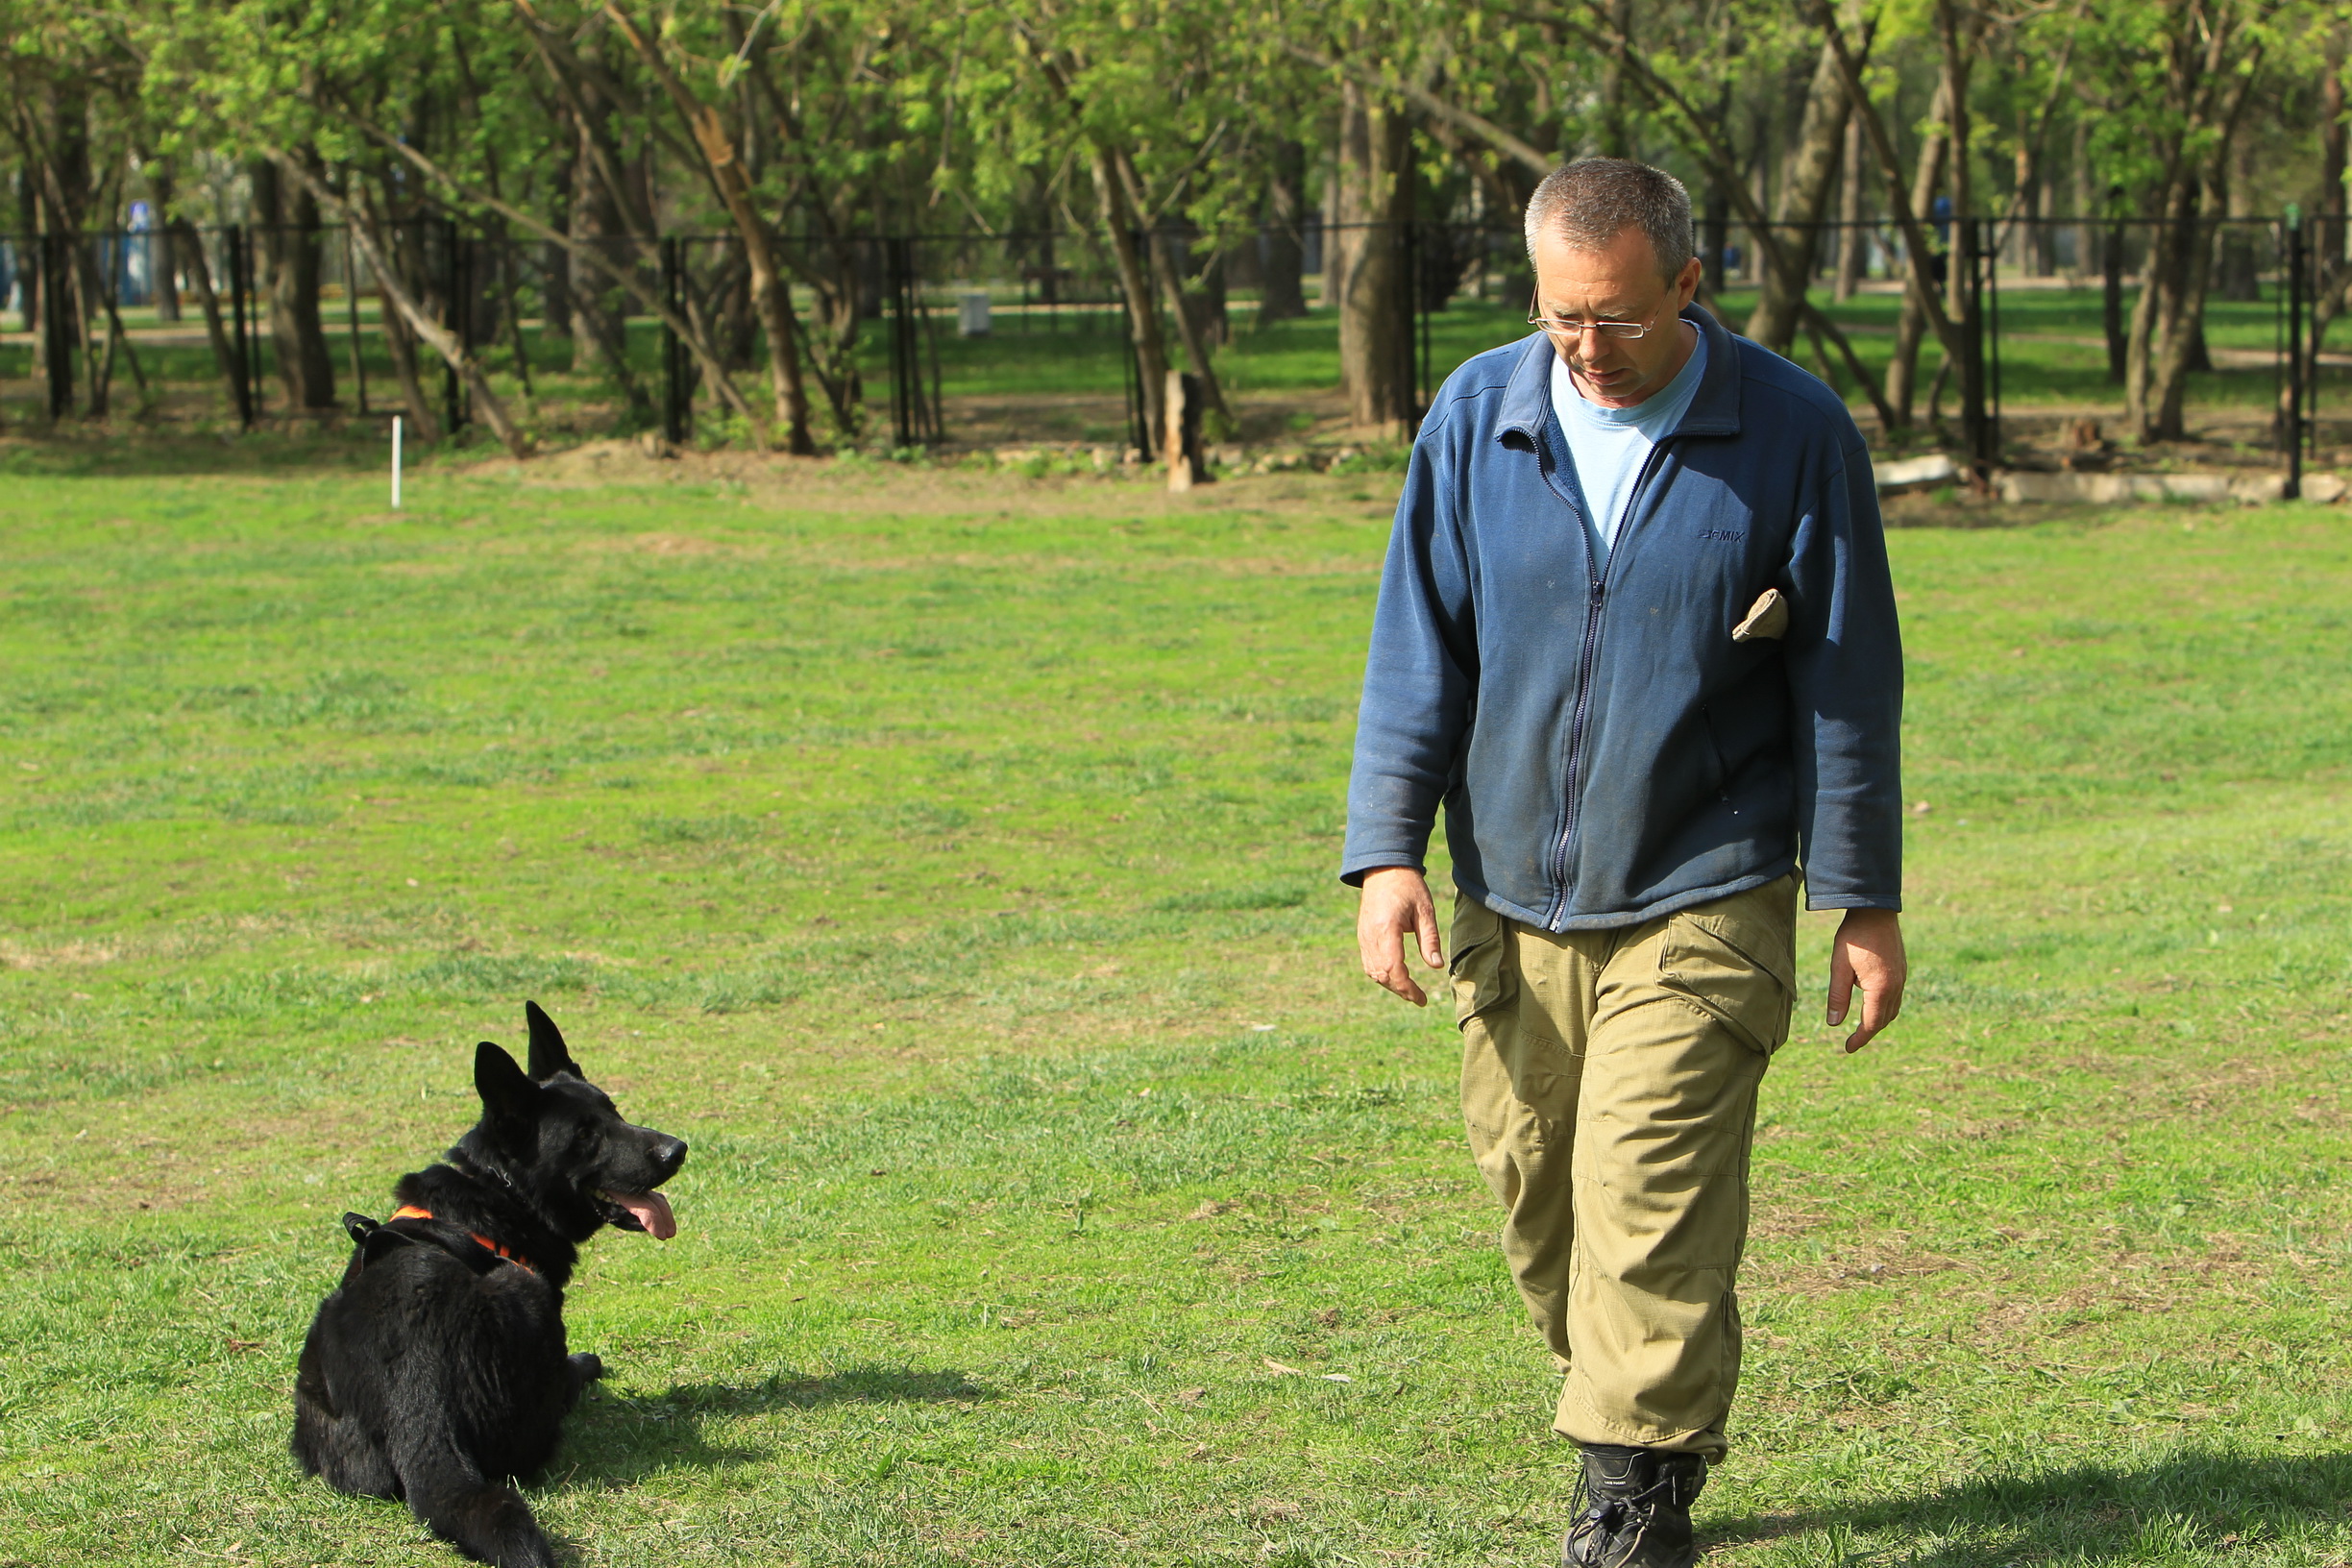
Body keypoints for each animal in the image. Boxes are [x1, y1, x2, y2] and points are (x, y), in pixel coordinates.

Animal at [289, 1006, 686, 1568]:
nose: (678, 1149)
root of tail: (416, 1404)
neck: (500, 1191)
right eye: (586, 1135)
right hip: (527, 1294)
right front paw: (584, 1367)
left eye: (615, 1112)